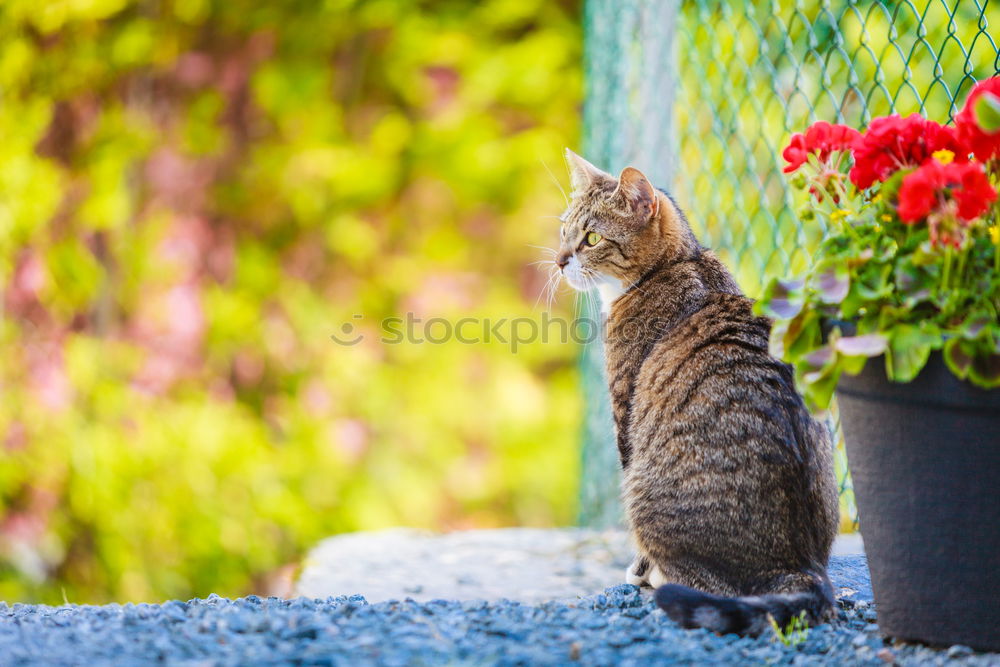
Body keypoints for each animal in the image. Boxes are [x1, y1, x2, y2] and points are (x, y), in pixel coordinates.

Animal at [552, 150, 840, 636]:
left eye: (591, 238)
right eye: (564, 230)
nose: (557, 260)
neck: (676, 265)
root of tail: (799, 566)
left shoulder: (626, 413)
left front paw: (640, 570)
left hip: (643, 490)